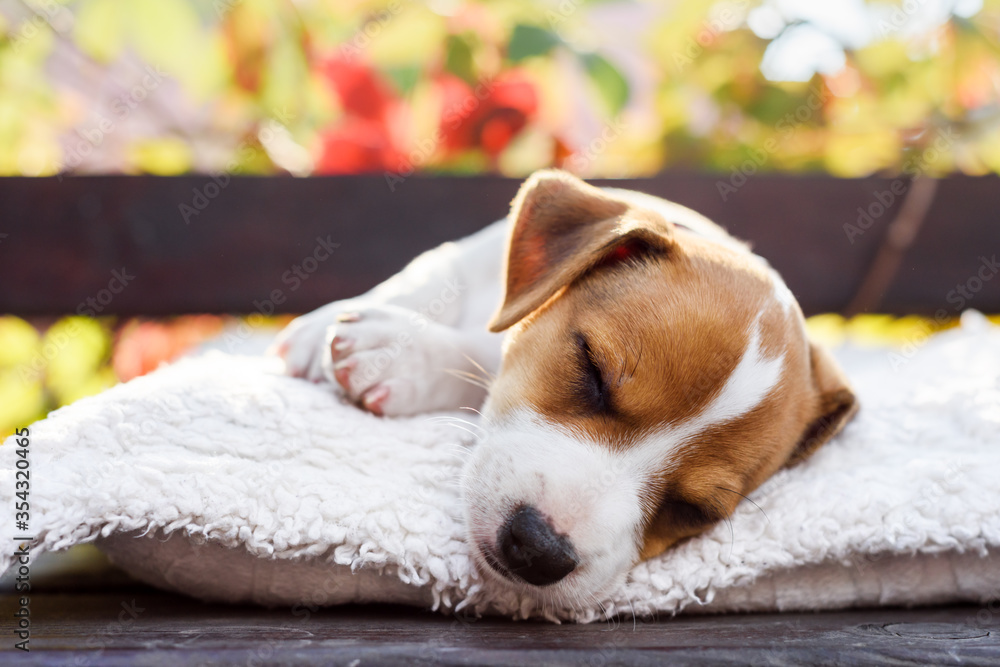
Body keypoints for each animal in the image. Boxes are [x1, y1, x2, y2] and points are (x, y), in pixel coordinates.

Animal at [274, 171, 860, 612]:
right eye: (592, 370)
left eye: (695, 511)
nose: (537, 550)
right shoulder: (463, 258)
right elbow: (426, 282)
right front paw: (334, 326)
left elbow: (484, 348)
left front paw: (399, 352)